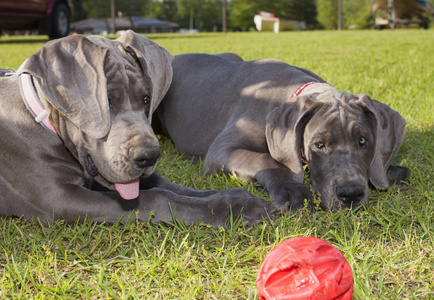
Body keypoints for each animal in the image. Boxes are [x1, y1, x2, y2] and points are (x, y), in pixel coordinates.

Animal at [0, 32, 272, 225]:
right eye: (107, 101)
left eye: (146, 99)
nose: (149, 156)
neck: (38, 115)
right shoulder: (59, 198)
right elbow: (156, 197)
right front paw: (231, 209)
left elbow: (172, 187)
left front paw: (235, 198)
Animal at [156, 52, 410, 212]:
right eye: (319, 145)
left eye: (363, 141)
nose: (351, 194)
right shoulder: (221, 149)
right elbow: (266, 159)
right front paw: (291, 189)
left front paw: (389, 171)